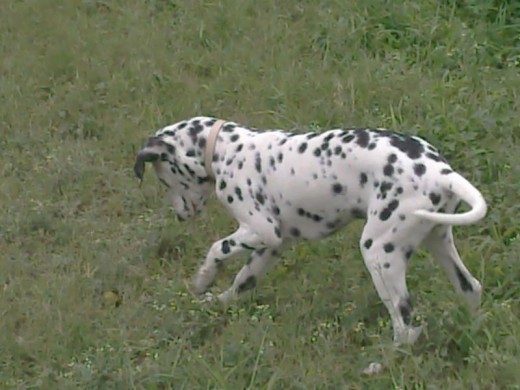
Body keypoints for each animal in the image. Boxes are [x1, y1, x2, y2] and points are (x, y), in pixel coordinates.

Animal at [134, 116, 488, 344]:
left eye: (163, 179)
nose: (180, 216)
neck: (227, 149)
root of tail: (440, 172)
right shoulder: (271, 244)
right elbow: (243, 281)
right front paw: (217, 302)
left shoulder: (260, 231)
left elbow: (216, 249)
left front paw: (201, 280)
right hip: (437, 239)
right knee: (470, 288)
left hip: (379, 254)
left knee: (406, 327)